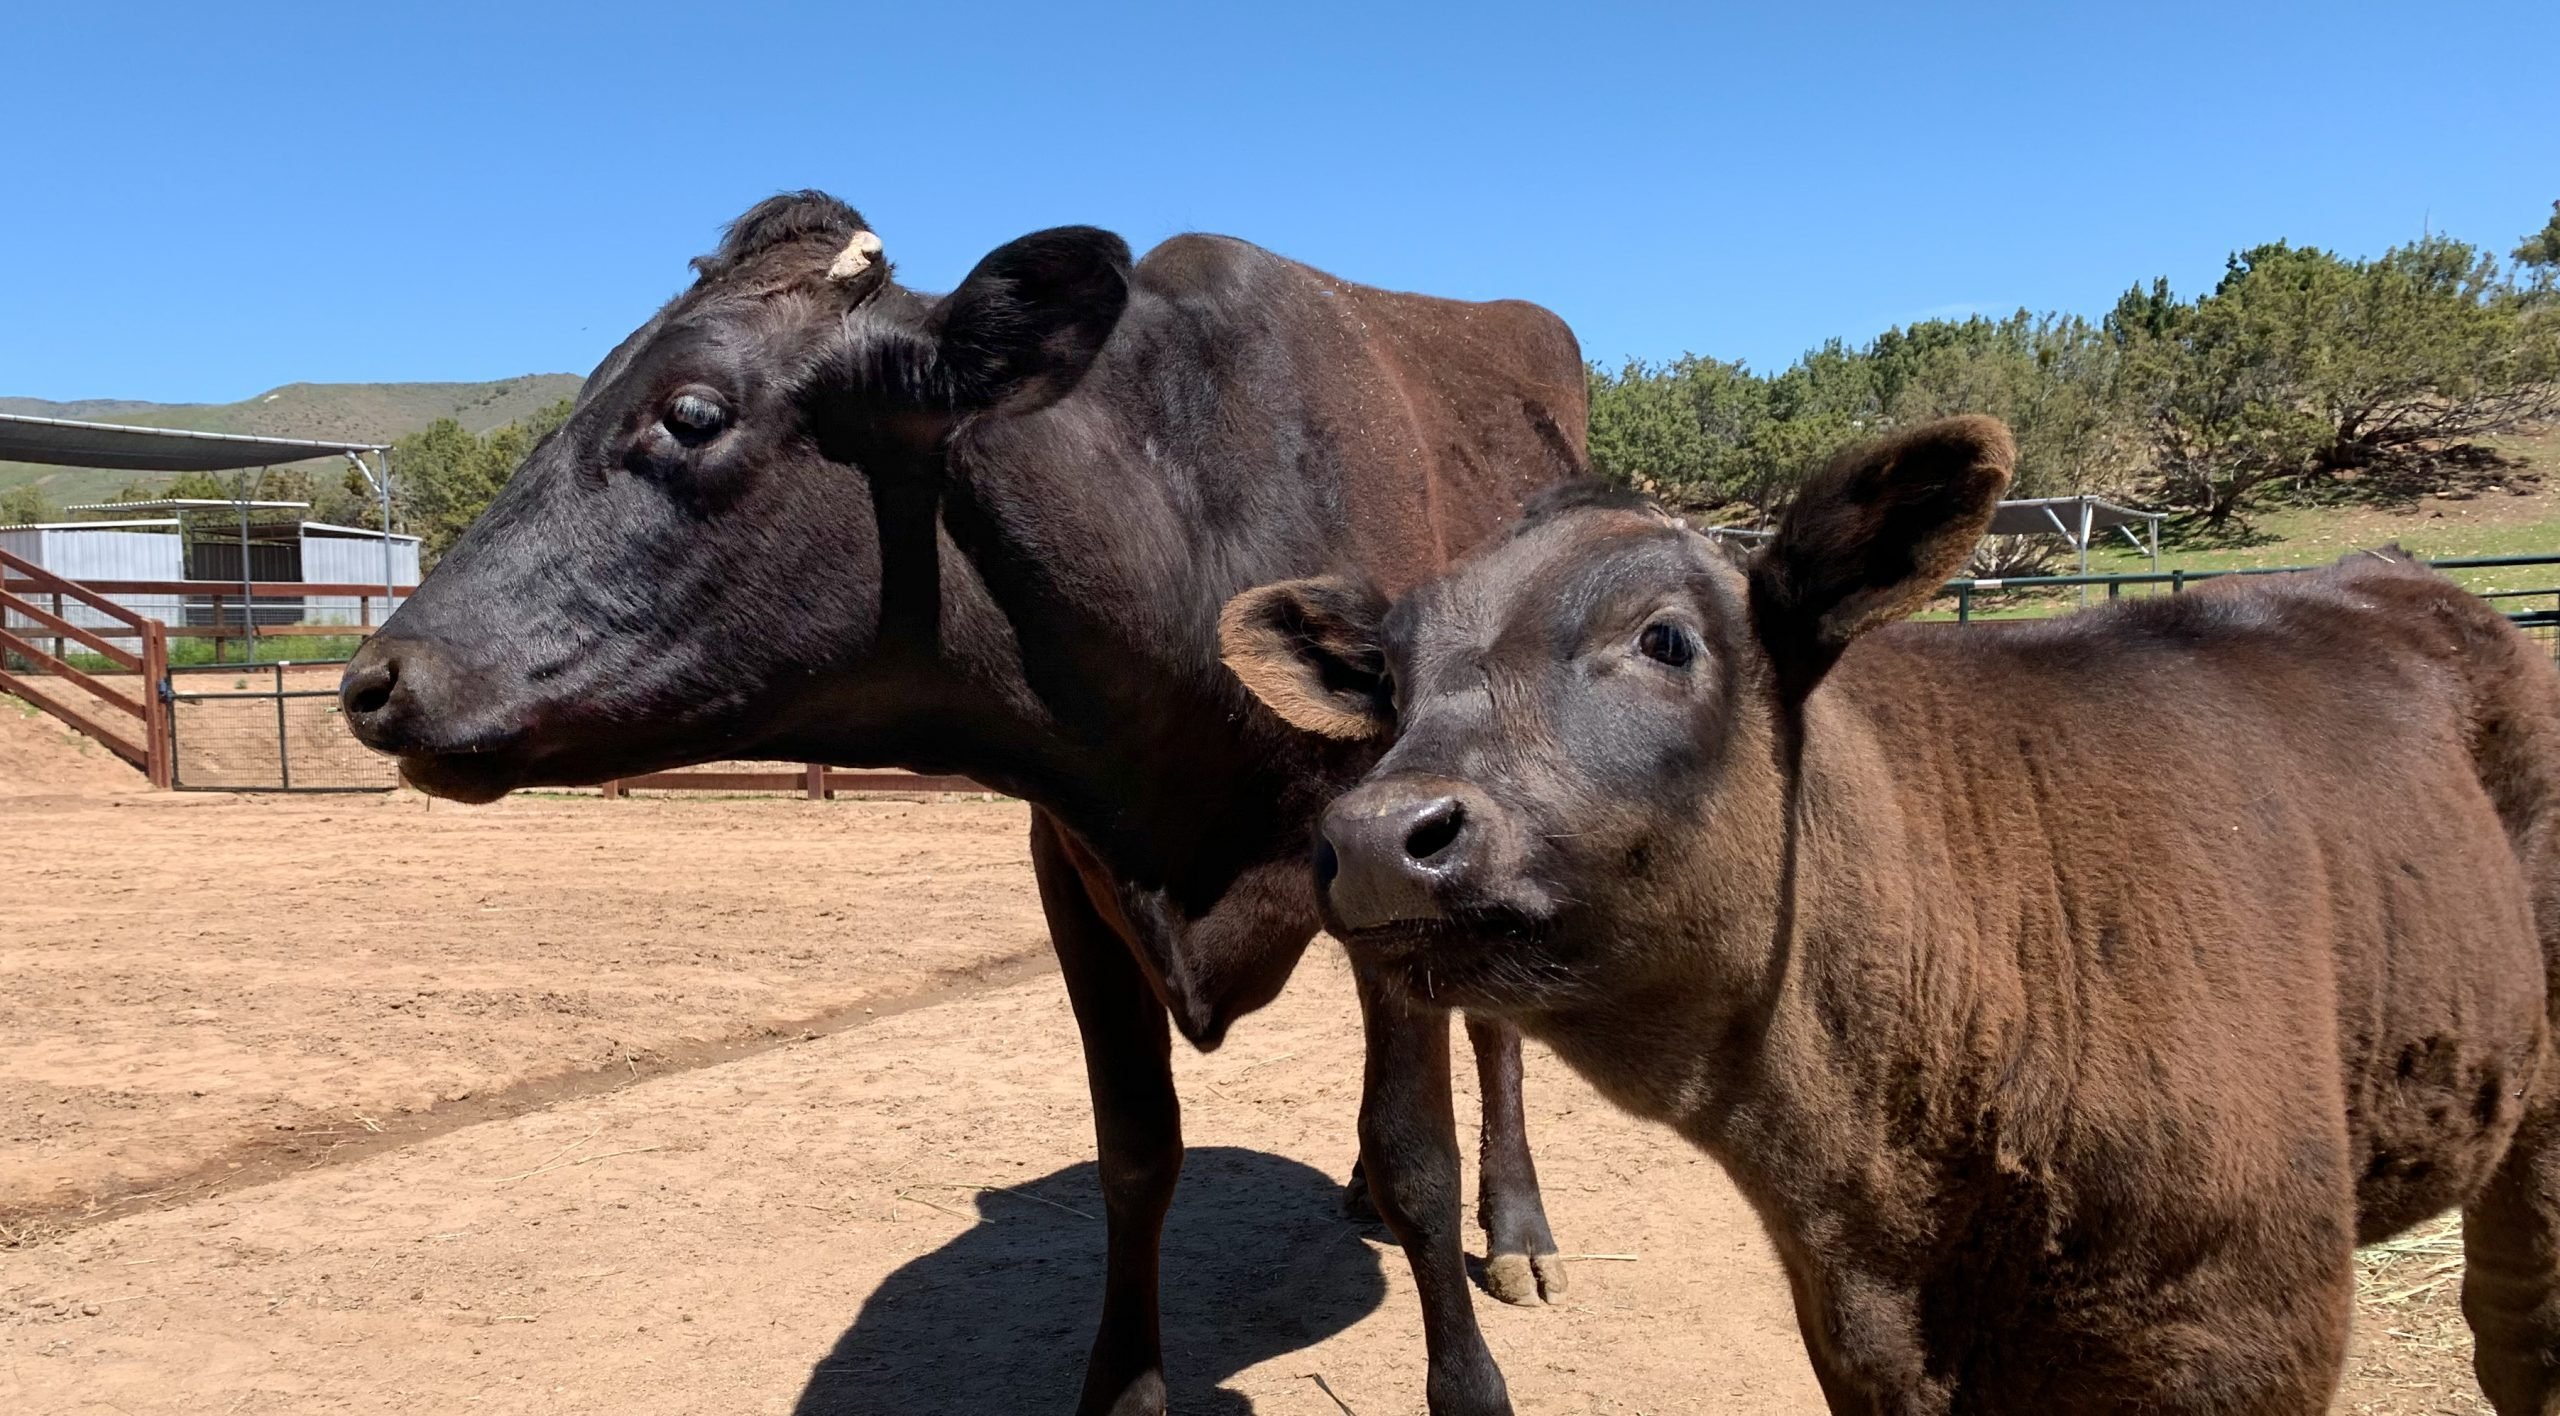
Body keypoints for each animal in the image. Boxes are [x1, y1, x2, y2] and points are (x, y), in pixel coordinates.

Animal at [340, 191, 1583, 1415]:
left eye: (692, 412)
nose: (375, 682)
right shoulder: (1073, 876)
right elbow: (1137, 1152)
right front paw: (1122, 1391)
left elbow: (1419, 1155)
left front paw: (1471, 1378)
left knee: (1493, 1031)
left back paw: (1519, 1229)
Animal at [1218, 415, 2560, 1414]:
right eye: (1387, 682)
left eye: (1665, 637)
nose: (1375, 837)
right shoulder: (1862, 1339)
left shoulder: (2238, 1333)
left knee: (2518, 1332)